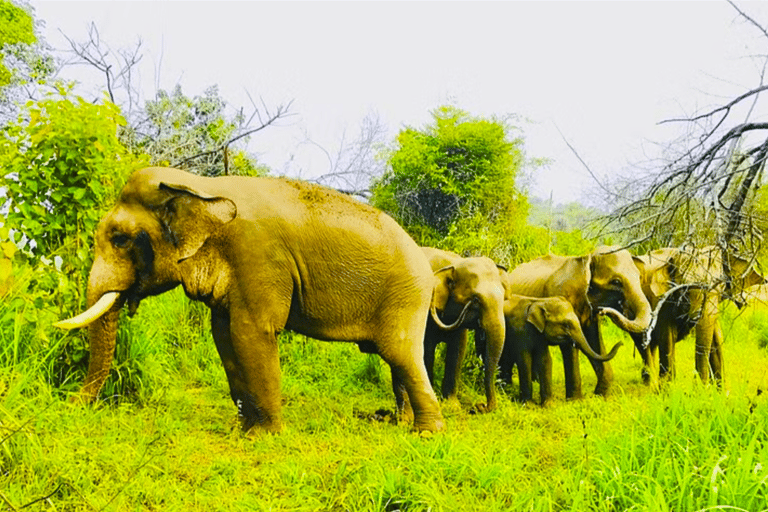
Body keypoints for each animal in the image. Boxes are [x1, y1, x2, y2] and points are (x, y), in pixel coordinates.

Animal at [54, 166, 444, 434]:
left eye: (119, 239)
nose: (68, 402)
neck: (201, 186)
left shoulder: (258, 255)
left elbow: (252, 333)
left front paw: (265, 435)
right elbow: (223, 335)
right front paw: (242, 429)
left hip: (405, 296)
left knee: (402, 354)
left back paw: (427, 433)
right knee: (397, 359)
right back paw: (402, 422)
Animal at [424, 247, 508, 412]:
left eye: (503, 298)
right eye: (475, 300)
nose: (480, 406)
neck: (453, 264)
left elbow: (458, 352)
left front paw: (452, 406)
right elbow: (428, 350)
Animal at [498, 248, 656, 400]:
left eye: (639, 277)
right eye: (616, 282)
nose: (604, 310)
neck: (588, 257)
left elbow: (594, 341)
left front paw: (599, 395)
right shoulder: (562, 296)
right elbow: (570, 345)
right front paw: (575, 400)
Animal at [632, 246, 760, 386]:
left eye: (721, 286)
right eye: (685, 289)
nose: (698, 382)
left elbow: (716, 339)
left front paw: (720, 390)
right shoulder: (662, 300)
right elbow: (667, 337)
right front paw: (668, 388)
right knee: (643, 343)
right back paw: (650, 382)